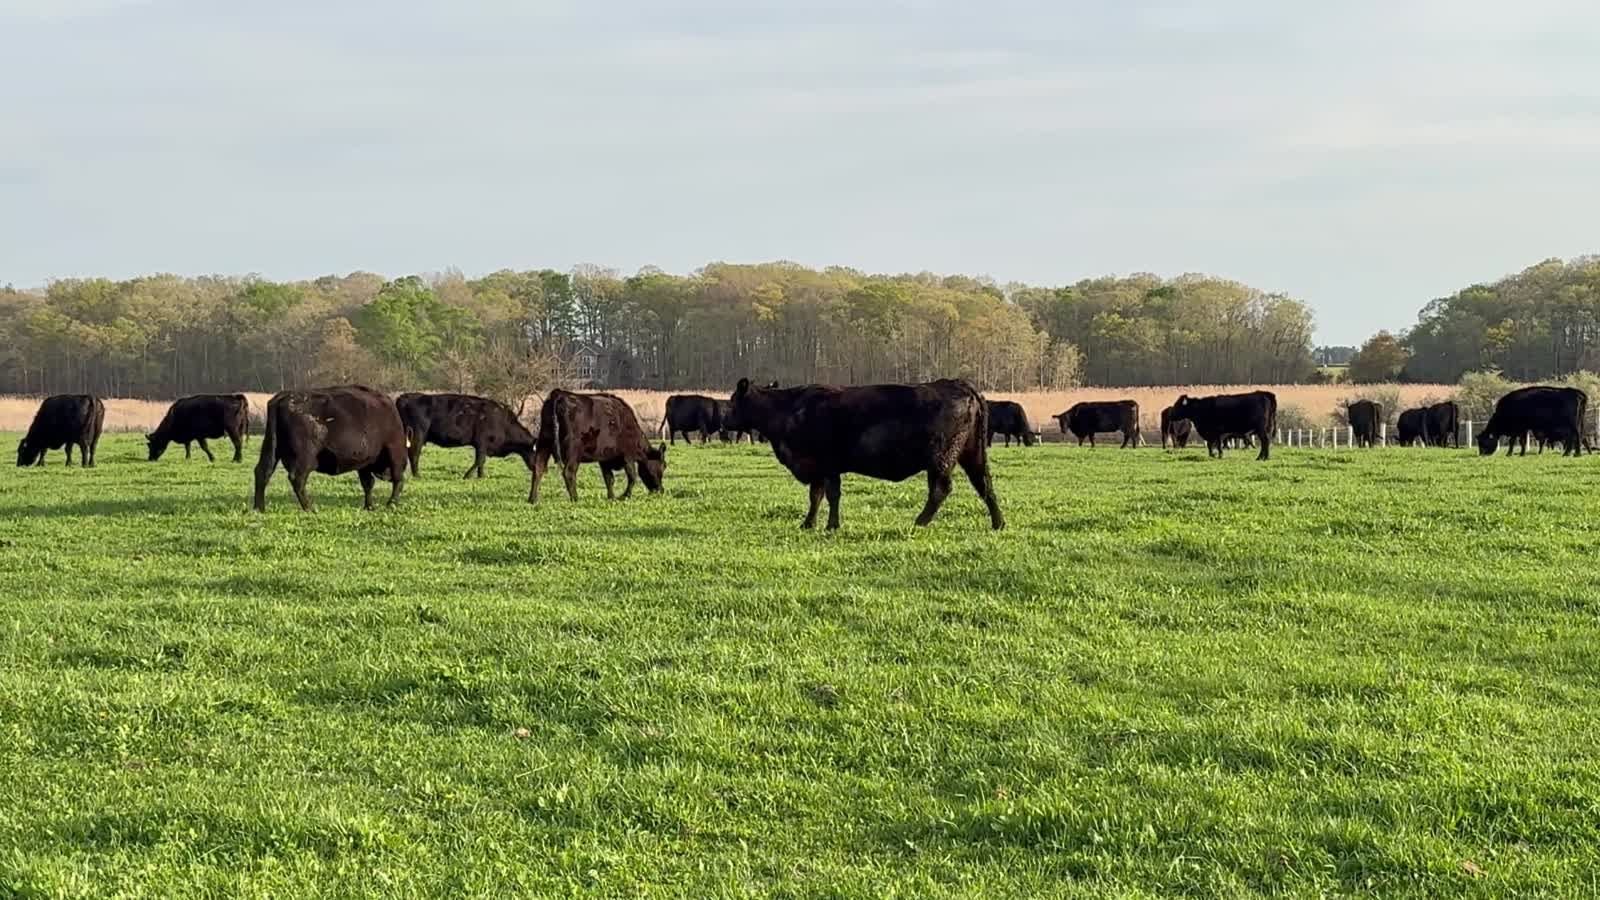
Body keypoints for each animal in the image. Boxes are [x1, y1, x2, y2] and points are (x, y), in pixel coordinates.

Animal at [253, 385, 408, 511]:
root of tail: (282, 398)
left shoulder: (364, 462)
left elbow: (368, 483)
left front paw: (369, 506)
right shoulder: (393, 450)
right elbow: (398, 479)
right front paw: (391, 504)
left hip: (271, 448)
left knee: (262, 472)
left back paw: (259, 508)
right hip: (305, 459)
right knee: (297, 478)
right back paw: (310, 508)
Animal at [396, 392, 535, 480]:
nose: (536, 468)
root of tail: (405, 397)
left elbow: (481, 462)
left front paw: (481, 476)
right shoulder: (481, 443)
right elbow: (480, 460)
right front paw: (467, 476)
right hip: (417, 436)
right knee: (414, 455)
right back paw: (417, 475)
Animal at [532, 390, 666, 502]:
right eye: (663, 466)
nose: (661, 490)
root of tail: (560, 393)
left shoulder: (605, 457)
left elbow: (609, 479)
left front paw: (612, 497)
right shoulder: (627, 455)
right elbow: (632, 477)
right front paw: (624, 496)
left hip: (544, 442)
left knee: (538, 468)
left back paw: (533, 499)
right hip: (573, 449)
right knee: (568, 472)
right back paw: (575, 498)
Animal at [727, 377, 1003, 531]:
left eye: (731, 401)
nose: (725, 420)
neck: (790, 410)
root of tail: (958, 383)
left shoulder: (827, 464)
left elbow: (830, 495)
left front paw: (831, 525)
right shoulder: (818, 468)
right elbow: (816, 496)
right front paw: (808, 524)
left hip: (941, 457)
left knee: (941, 489)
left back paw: (919, 522)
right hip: (971, 453)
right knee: (984, 484)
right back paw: (998, 523)